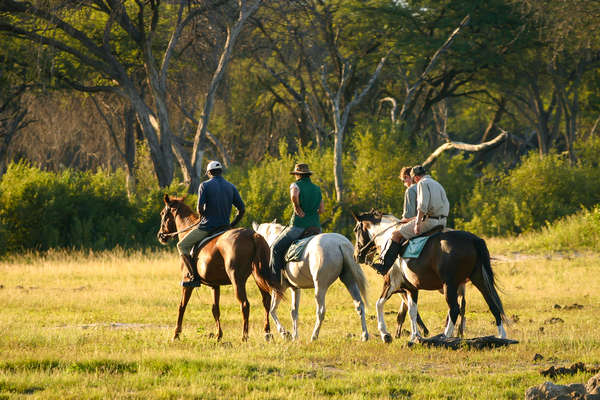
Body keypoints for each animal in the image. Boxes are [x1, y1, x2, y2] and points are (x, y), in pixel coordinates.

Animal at [156, 194, 280, 340]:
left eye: (162, 213)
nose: (161, 236)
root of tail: (253, 235)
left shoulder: (187, 282)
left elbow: (182, 306)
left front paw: (176, 334)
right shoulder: (214, 285)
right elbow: (215, 309)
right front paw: (218, 335)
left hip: (237, 279)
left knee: (244, 304)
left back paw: (244, 337)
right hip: (258, 276)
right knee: (266, 301)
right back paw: (267, 333)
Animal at [352, 209, 506, 344]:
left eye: (356, 230)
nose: (356, 256)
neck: (387, 237)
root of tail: (473, 239)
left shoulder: (391, 284)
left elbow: (379, 304)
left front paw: (385, 335)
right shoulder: (411, 289)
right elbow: (412, 311)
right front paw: (414, 337)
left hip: (450, 285)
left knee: (454, 309)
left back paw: (445, 337)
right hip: (479, 280)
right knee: (492, 305)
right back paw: (502, 336)